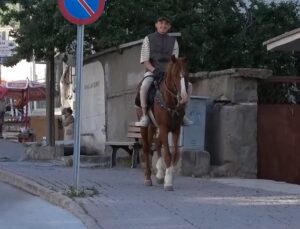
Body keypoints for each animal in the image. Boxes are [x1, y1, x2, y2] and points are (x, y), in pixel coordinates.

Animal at [140, 54, 188, 191]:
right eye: (176, 74)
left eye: (186, 74)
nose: (183, 97)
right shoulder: (164, 127)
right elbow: (167, 154)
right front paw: (168, 182)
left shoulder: (175, 129)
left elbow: (175, 154)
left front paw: (166, 177)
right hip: (146, 127)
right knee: (146, 148)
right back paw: (147, 178)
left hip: (154, 127)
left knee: (157, 144)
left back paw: (160, 174)